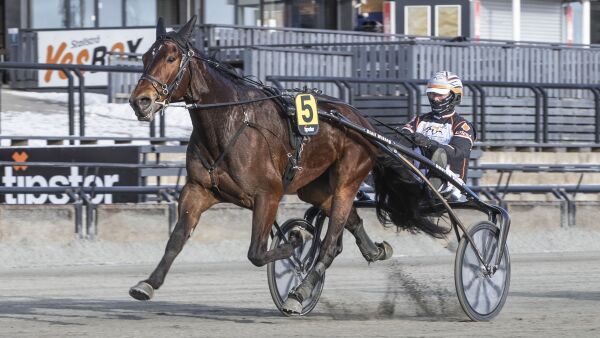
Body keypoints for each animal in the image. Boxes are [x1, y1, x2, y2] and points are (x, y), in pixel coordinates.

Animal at [129, 15, 448, 314]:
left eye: (171, 58)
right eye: (145, 57)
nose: (140, 101)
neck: (230, 123)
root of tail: (363, 124)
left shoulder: (268, 194)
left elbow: (257, 253)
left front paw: (297, 238)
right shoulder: (198, 189)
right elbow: (176, 239)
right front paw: (148, 283)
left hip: (348, 179)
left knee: (330, 243)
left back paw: (300, 292)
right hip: (315, 186)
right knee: (348, 225)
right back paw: (375, 250)